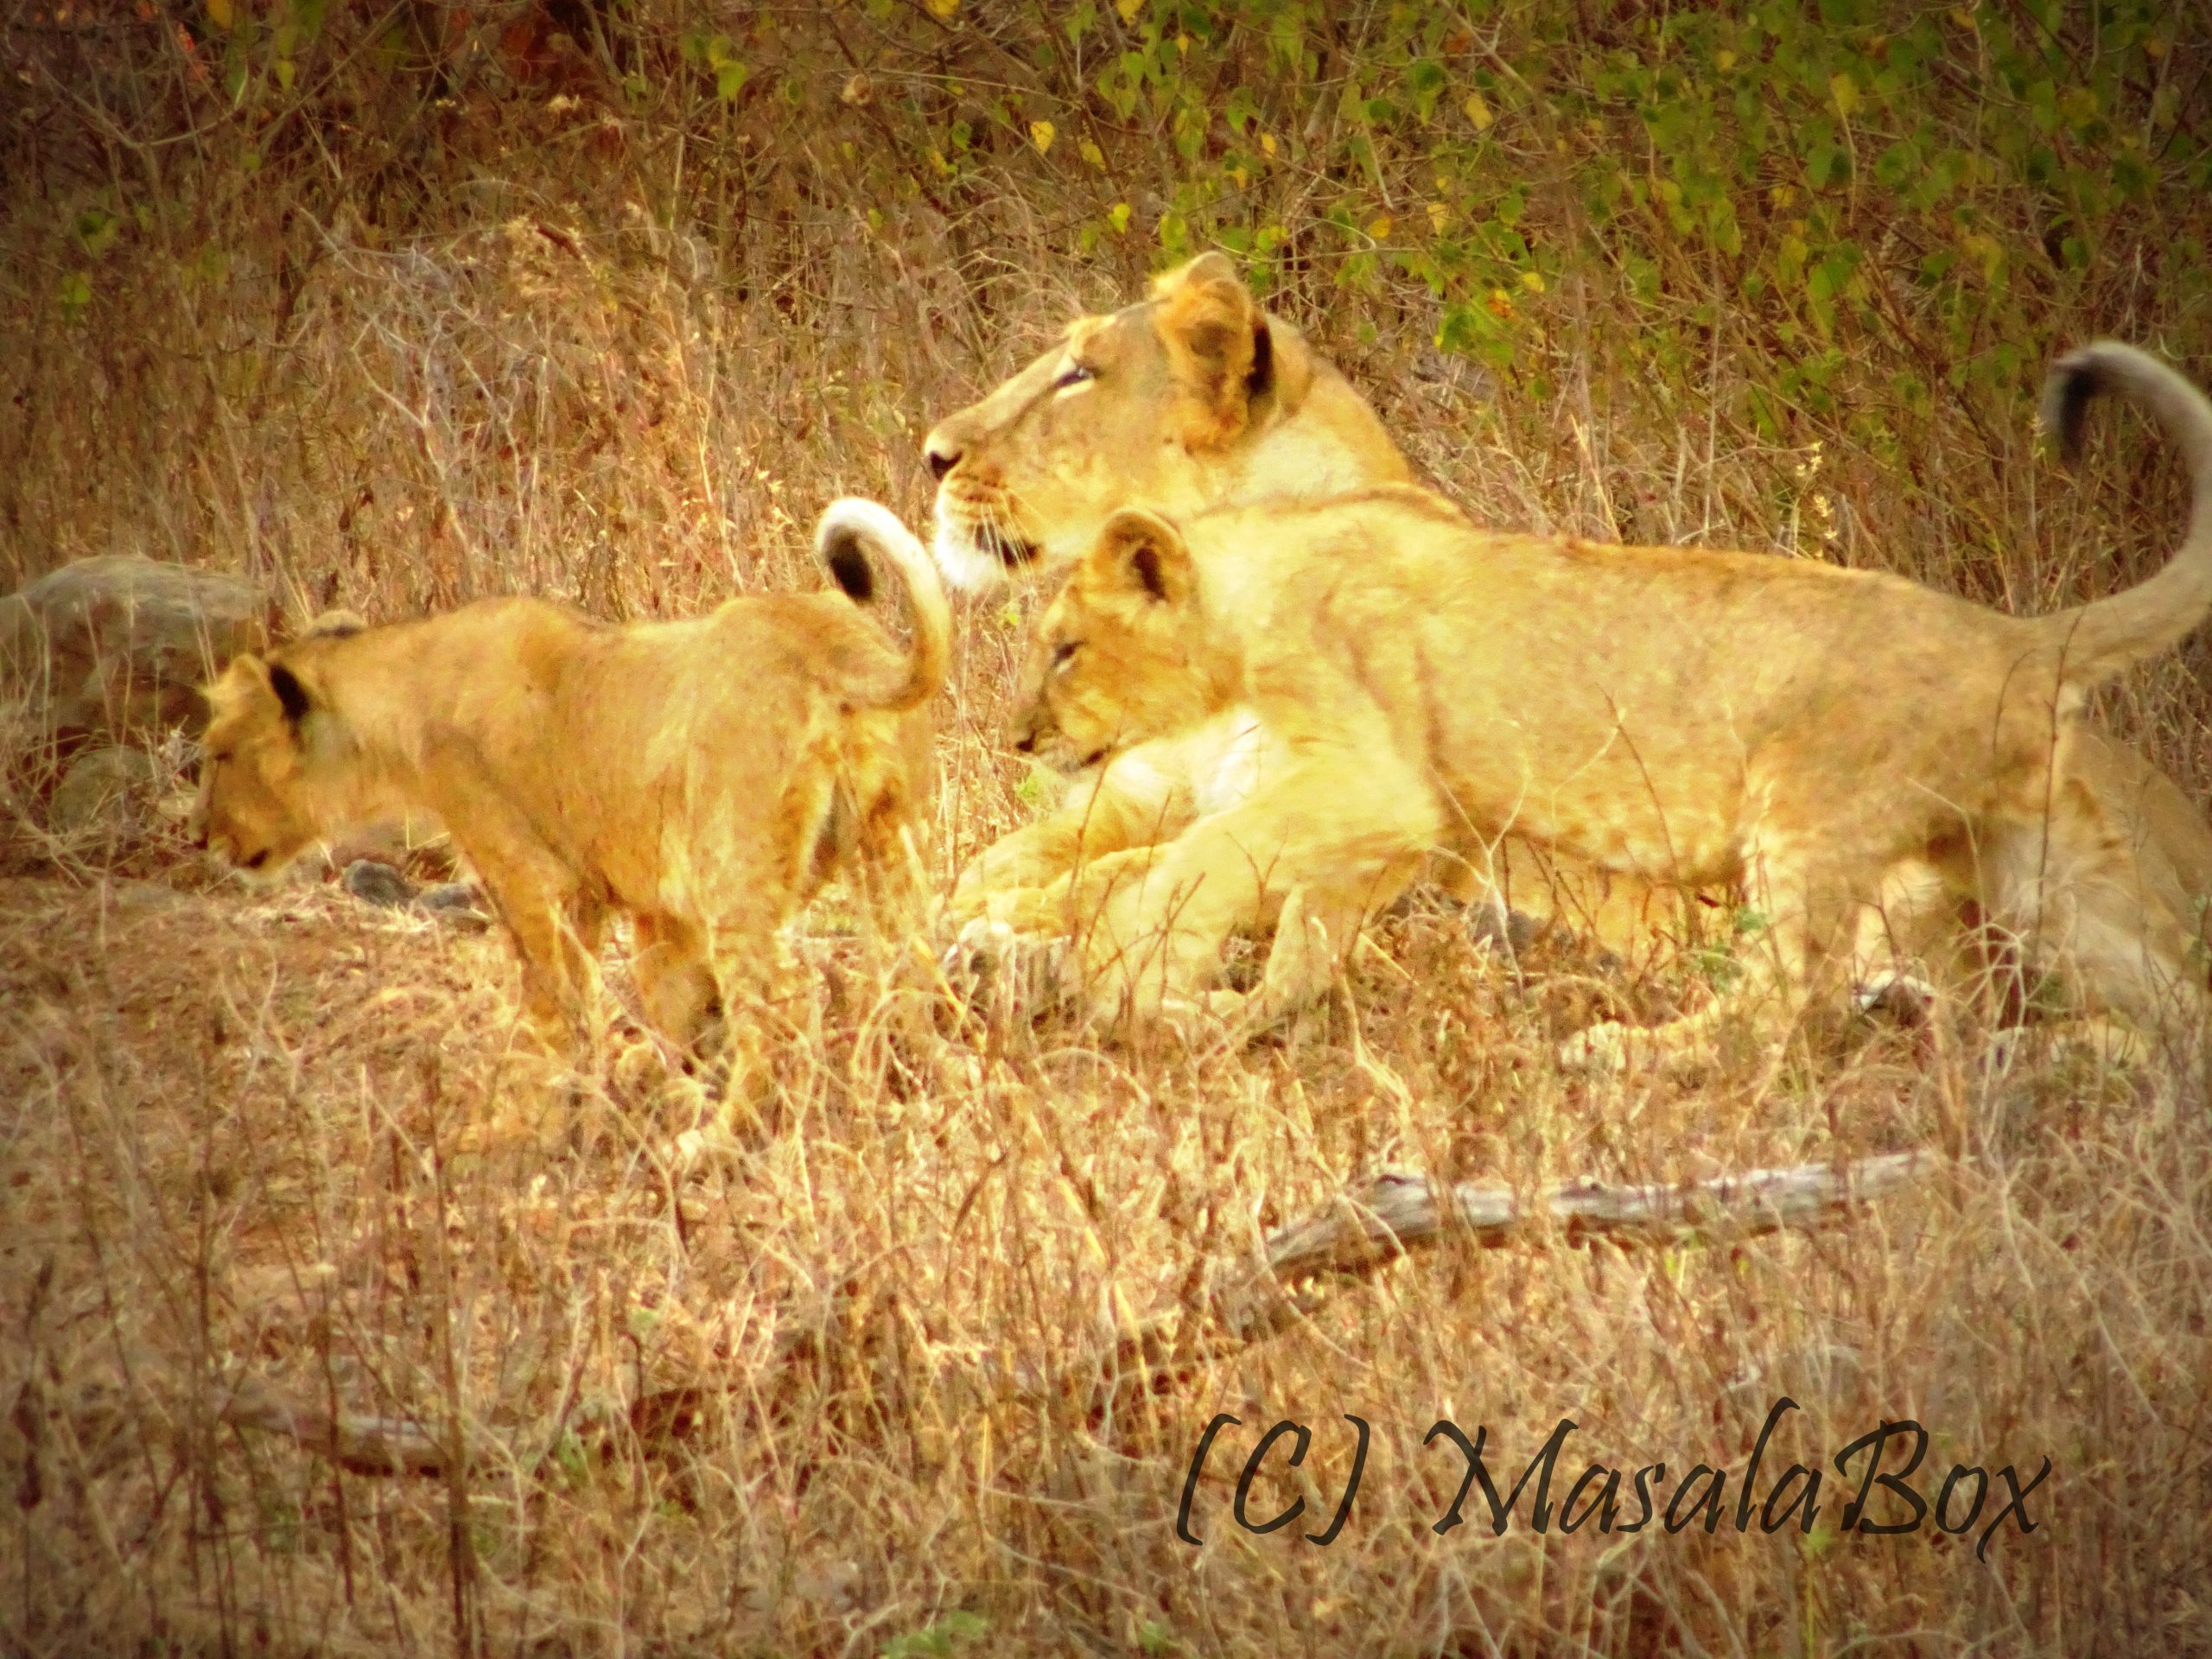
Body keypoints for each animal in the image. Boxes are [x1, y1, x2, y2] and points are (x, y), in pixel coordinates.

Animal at [191, 499, 948, 1143]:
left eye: (219, 752)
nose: (201, 836)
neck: (404, 693)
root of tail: (827, 641)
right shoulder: (625, 901)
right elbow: (654, 1006)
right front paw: (625, 1100)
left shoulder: (530, 884)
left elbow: (550, 1010)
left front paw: (524, 1127)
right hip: (887, 848)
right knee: (914, 972)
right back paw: (935, 1096)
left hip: (735, 869)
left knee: (783, 1005)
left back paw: (715, 1142)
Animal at [927, 253, 2212, 993]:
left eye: (1078, 374)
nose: (932, 453)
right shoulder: (1139, 792)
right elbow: (1016, 857)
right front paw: (966, 915)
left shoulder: (1397, 830)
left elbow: (1110, 882)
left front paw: (1004, 941)